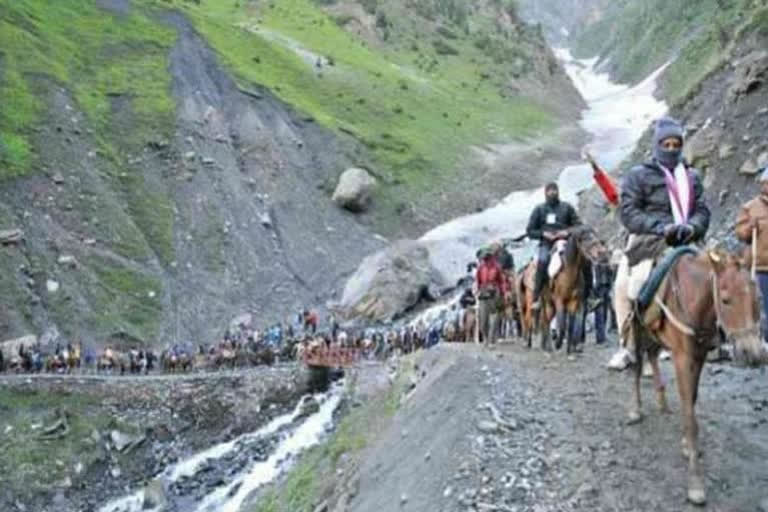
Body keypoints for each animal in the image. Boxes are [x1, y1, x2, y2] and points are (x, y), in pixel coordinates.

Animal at [632, 250, 768, 506]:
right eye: (725, 300)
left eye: (758, 298)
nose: (754, 354)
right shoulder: (682, 358)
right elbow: (688, 410)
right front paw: (695, 482)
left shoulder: (700, 355)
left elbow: (692, 399)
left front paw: (687, 445)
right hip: (636, 330)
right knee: (636, 365)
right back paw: (635, 410)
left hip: (654, 336)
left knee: (653, 357)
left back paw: (661, 401)